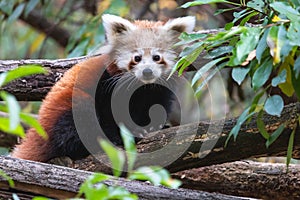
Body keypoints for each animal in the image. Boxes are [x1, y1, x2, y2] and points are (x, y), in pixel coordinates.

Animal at [11, 14, 196, 162]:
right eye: (137, 58)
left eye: (157, 57)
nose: (147, 72)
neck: (142, 88)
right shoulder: (106, 87)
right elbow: (110, 115)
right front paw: (124, 134)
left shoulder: (159, 91)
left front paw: (153, 127)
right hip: (69, 107)